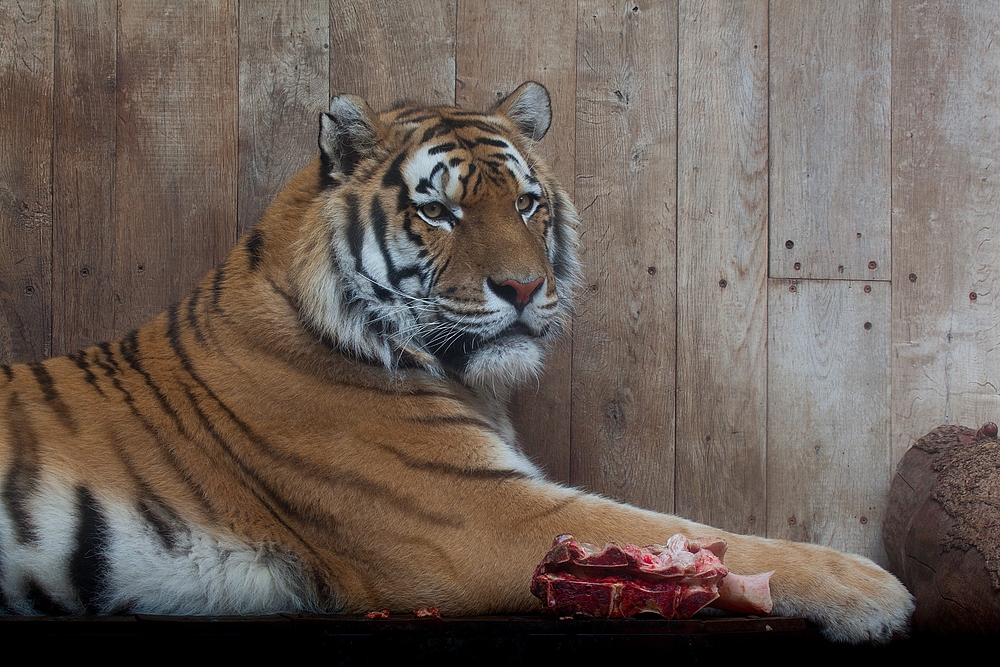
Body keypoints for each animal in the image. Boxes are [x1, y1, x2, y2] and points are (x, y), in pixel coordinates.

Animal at [0, 81, 916, 644]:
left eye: (527, 202)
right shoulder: (482, 515)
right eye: (438, 211)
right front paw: (876, 589)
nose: (523, 286)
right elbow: (691, 532)